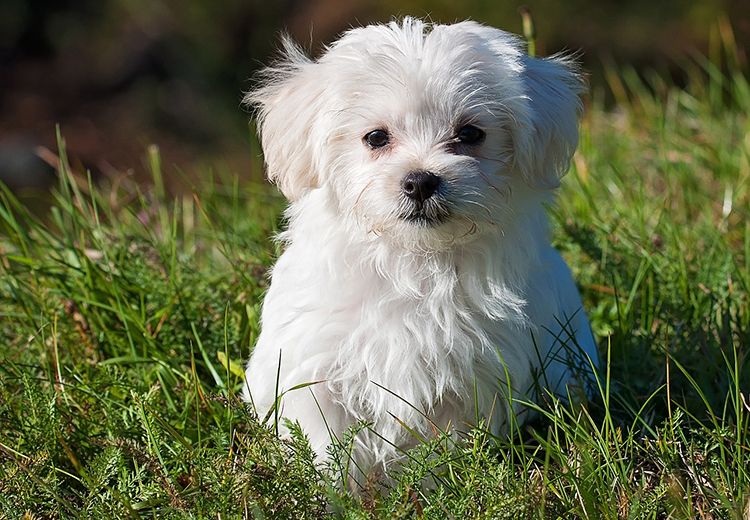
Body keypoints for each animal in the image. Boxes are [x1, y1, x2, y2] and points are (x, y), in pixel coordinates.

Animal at [244, 18, 604, 484]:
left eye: (470, 134)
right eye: (375, 138)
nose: (420, 181)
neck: (415, 261)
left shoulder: (470, 380)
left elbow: (441, 451)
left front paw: (433, 488)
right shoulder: (315, 370)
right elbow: (326, 448)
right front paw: (333, 492)